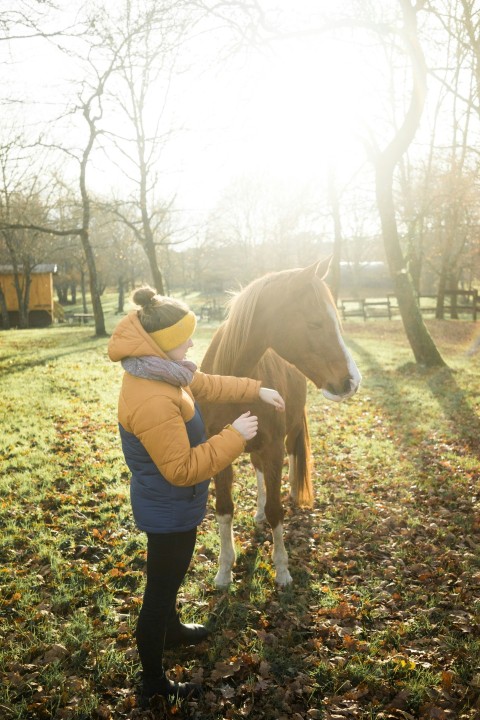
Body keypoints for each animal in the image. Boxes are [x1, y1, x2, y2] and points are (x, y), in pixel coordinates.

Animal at [200, 259, 361, 586]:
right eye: (315, 323)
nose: (352, 381)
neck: (234, 381)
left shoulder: (273, 447)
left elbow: (277, 510)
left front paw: (282, 570)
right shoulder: (219, 450)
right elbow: (224, 509)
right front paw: (224, 571)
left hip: (288, 434)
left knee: (290, 458)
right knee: (258, 470)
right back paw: (259, 512)